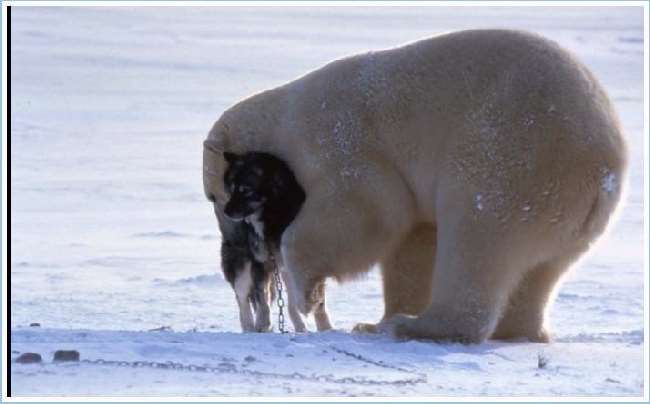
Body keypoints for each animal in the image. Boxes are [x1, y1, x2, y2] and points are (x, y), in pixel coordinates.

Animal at [218, 152, 332, 332]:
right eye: (232, 189)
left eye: (245, 190)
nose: (226, 211)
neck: (272, 217)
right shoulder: (260, 262)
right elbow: (262, 297)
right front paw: (263, 322)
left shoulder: (302, 261)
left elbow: (312, 300)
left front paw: (325, 327)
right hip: (241, 264)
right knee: (242, 297)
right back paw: (249, 326)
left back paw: (299, 325)